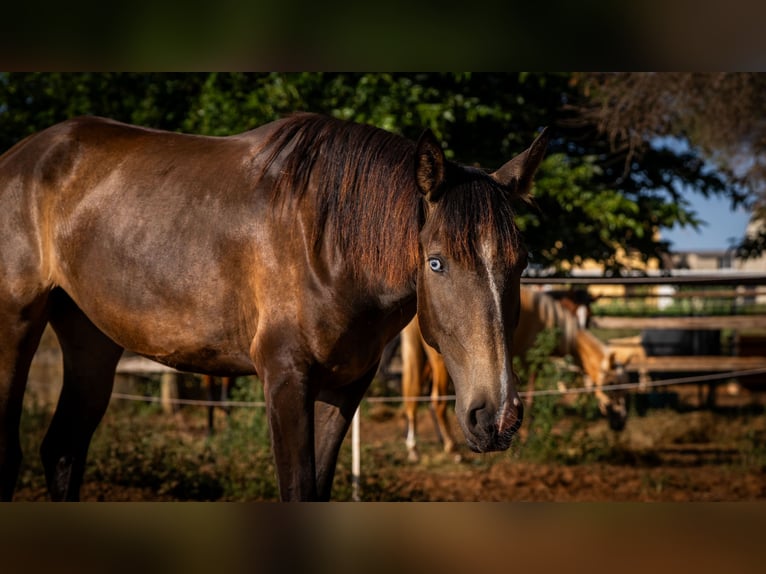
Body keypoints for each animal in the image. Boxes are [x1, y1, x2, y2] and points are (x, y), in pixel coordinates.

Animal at [0, 112, 548, 500]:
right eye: (436, 263)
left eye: (521, 261)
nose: (497, 417)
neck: (326, 241)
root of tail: (20, 157)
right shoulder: (286, 381)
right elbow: (297, 490)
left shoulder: (343, 389)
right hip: (16, 328)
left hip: (91, 338)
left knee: (64, 451)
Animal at [400, 287, 628, 462]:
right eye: (612, 385)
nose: (621, 423)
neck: (548, 318)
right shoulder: (531, 364)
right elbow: (530, 402)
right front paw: (522, 444)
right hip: (440, 365)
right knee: (437, 401)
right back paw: (452, 449)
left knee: (413, 397)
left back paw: (414, 449)